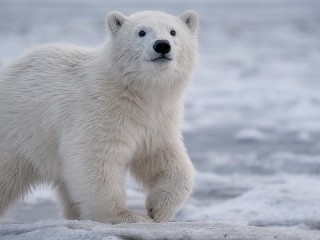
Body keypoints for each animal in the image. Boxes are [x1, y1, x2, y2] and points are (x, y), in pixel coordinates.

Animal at [0, 10, 198, 224]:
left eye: (173, 31)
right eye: (141, 32)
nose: (162, 45)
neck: (134, 92)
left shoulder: (157, 120)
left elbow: (164, 158)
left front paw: (158, 209)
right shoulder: (100, 110)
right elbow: (94, 157)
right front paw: (124, 216)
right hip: (15, 135)